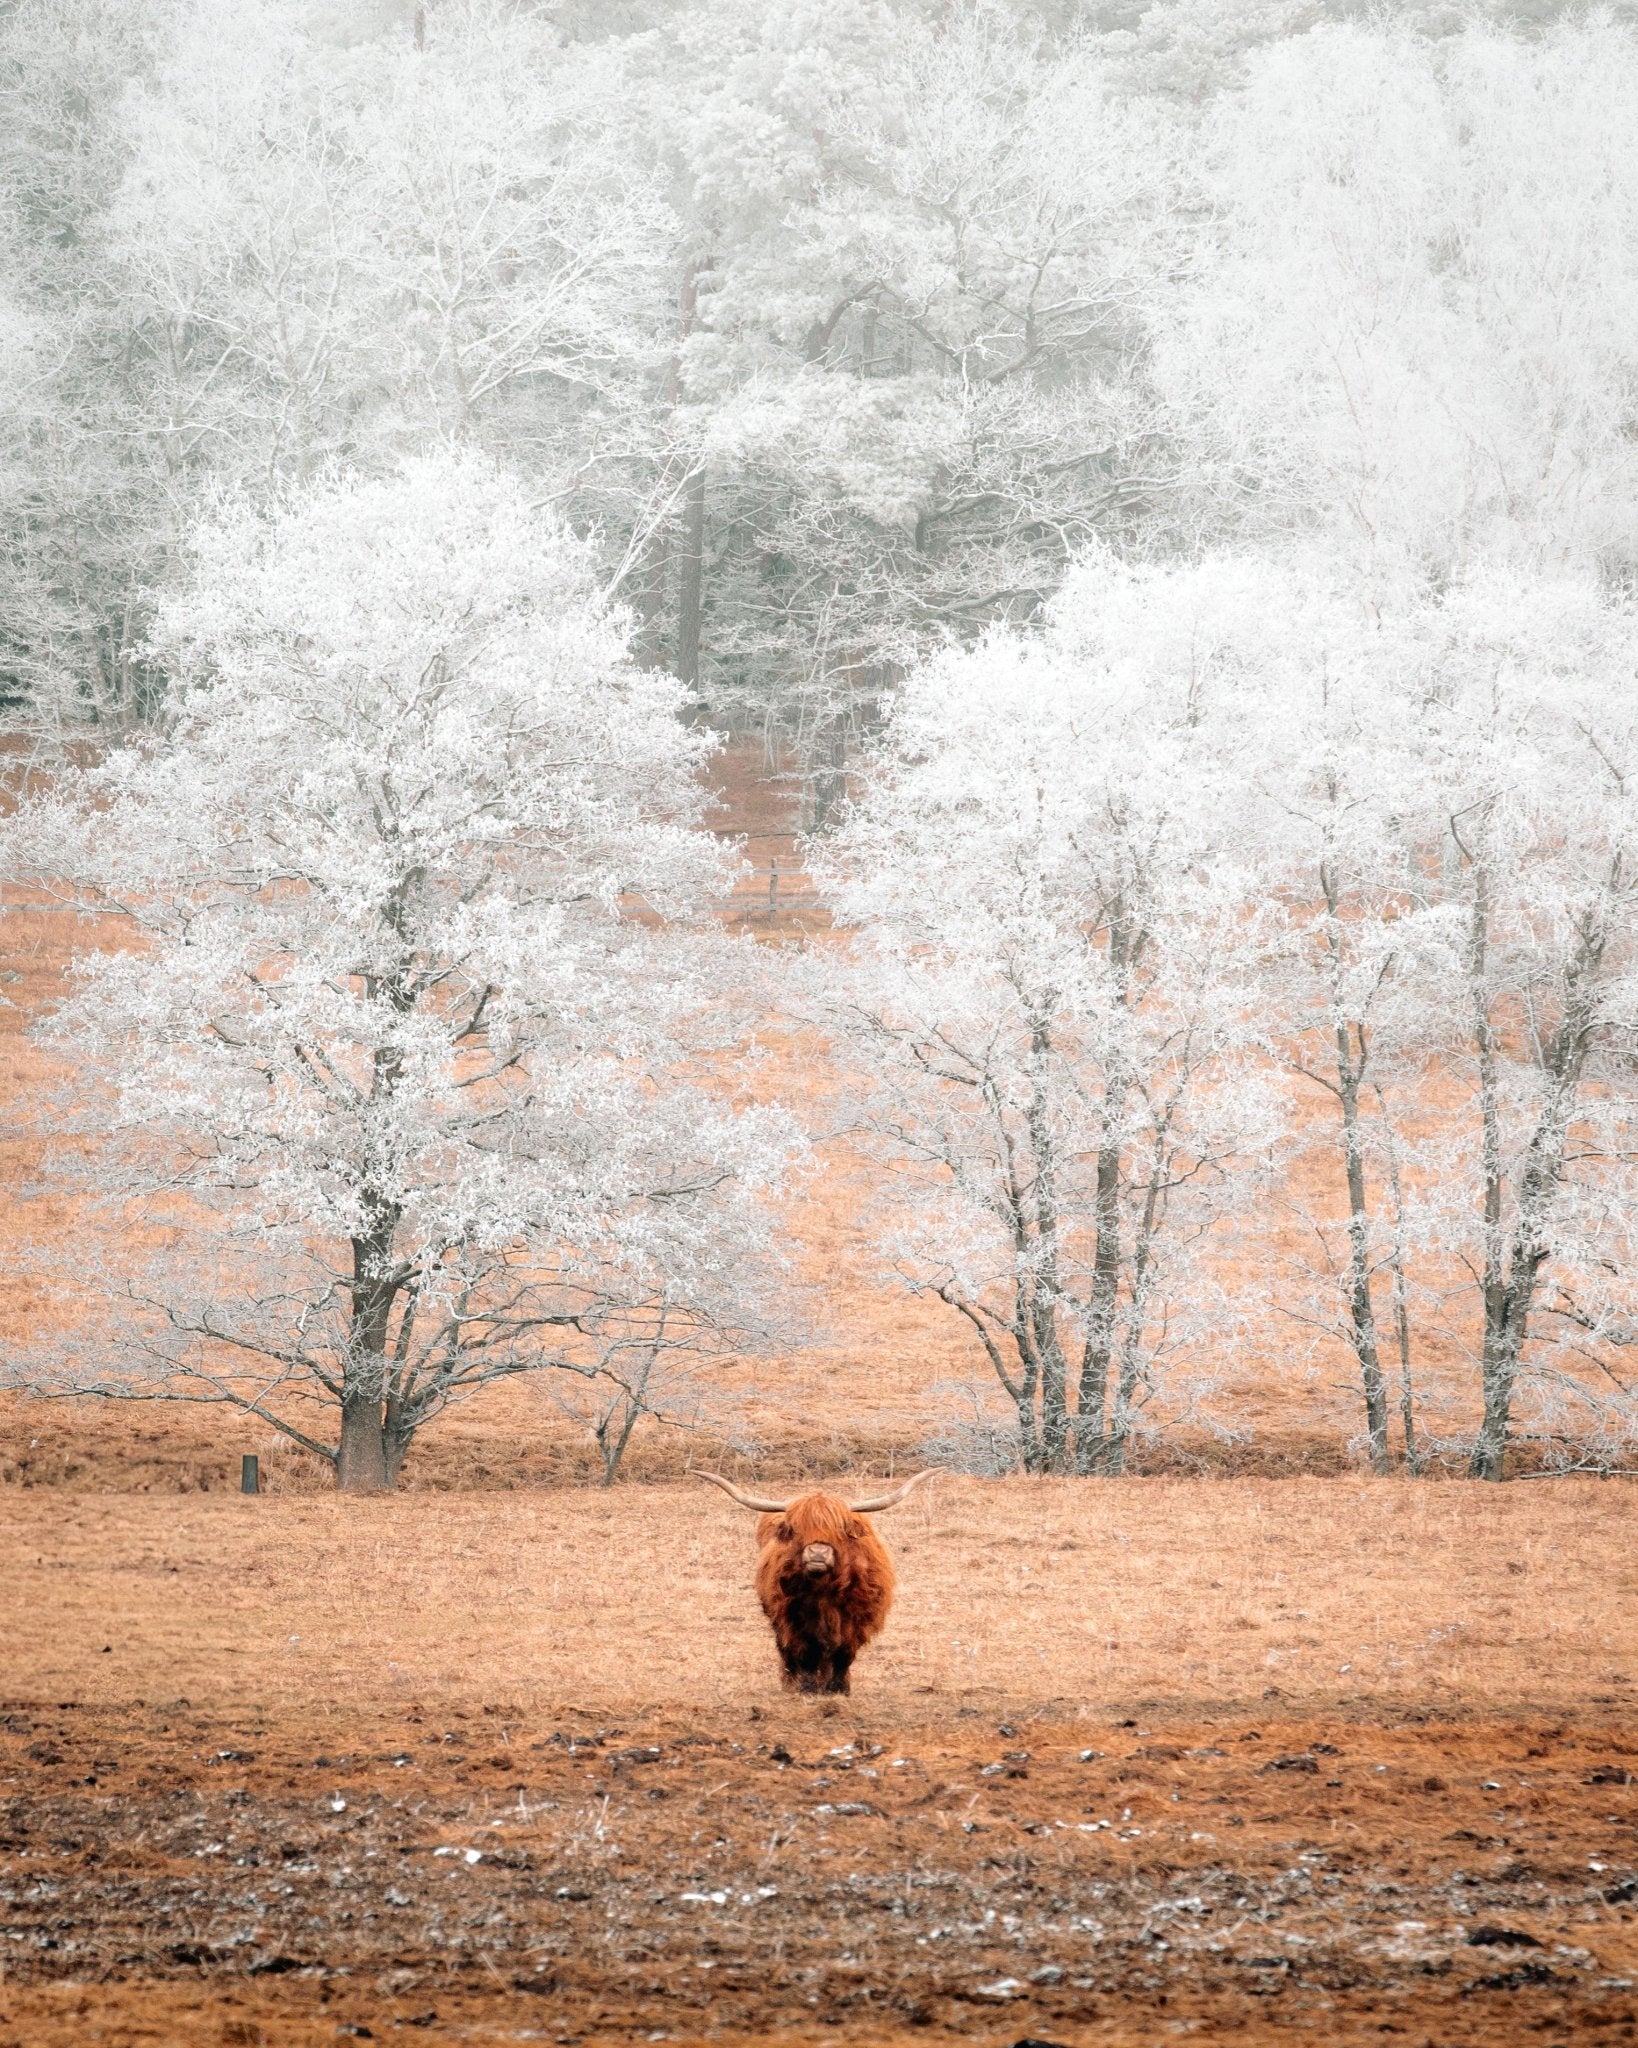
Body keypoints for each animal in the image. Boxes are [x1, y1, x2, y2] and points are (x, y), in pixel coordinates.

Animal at [696, 1469, 939, 1694]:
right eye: (797, 1529)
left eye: (839, 1529)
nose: (818, 1554)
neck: (824, 1591)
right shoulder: (794, 1621)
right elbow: (807, 1656)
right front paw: (809, 1689)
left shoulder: (855, 1621)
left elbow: (843, 1656)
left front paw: (838, 1689)